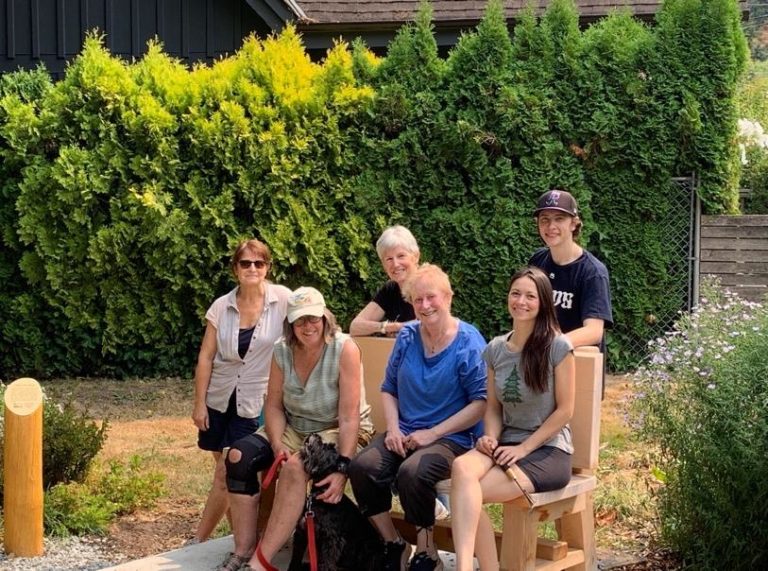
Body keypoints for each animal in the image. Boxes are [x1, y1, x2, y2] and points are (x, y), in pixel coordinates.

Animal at [288, 436, 384, 568]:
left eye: (326, 448)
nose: (315, 435)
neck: (319, 494)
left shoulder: (332, 540)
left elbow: (326, 564)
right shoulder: (302, 532)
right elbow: (295, 559)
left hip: (367, 550)